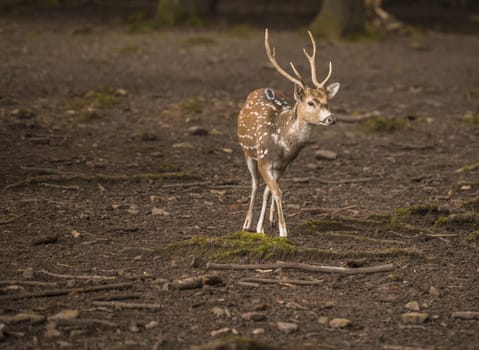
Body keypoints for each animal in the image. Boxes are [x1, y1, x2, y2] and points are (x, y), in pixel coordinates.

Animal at [238, 29, 340, 238]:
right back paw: (247, 222)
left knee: (264, 188)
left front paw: (265, 226)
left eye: (327, 101)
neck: (283, 144)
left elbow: (272, 191)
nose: (331, 118)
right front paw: (283, 231)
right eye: (311, 102)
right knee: (254, 184)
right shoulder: (263, 159)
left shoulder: (284, 165)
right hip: (247, 152)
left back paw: (266, 221)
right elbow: (276, 191)